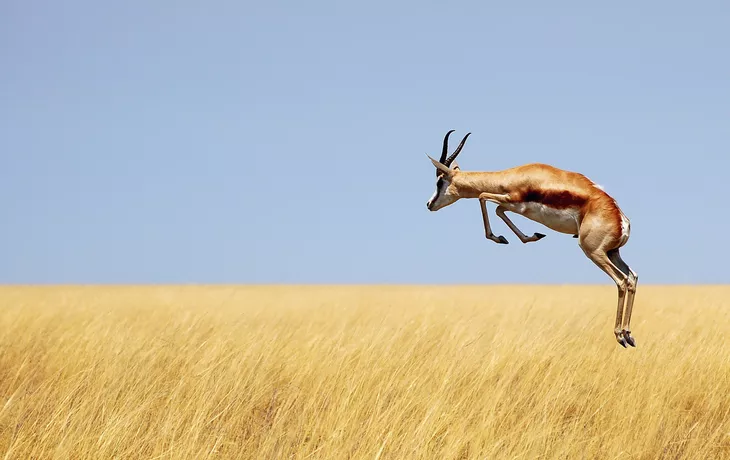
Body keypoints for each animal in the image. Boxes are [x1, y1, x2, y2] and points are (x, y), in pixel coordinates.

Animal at [424, 129, 636, 348]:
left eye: (440, 181)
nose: (429, 204)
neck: (513, 176)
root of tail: (621, 219)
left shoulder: (510, 199)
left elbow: (482, 196)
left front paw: (498, 237)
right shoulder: (511, 205)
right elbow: (499, 211)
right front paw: (529, 236)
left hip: (593, 252)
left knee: (621, 281)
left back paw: (620, 336)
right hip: (612, 252)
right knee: (632, 278)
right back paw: (628, 334)